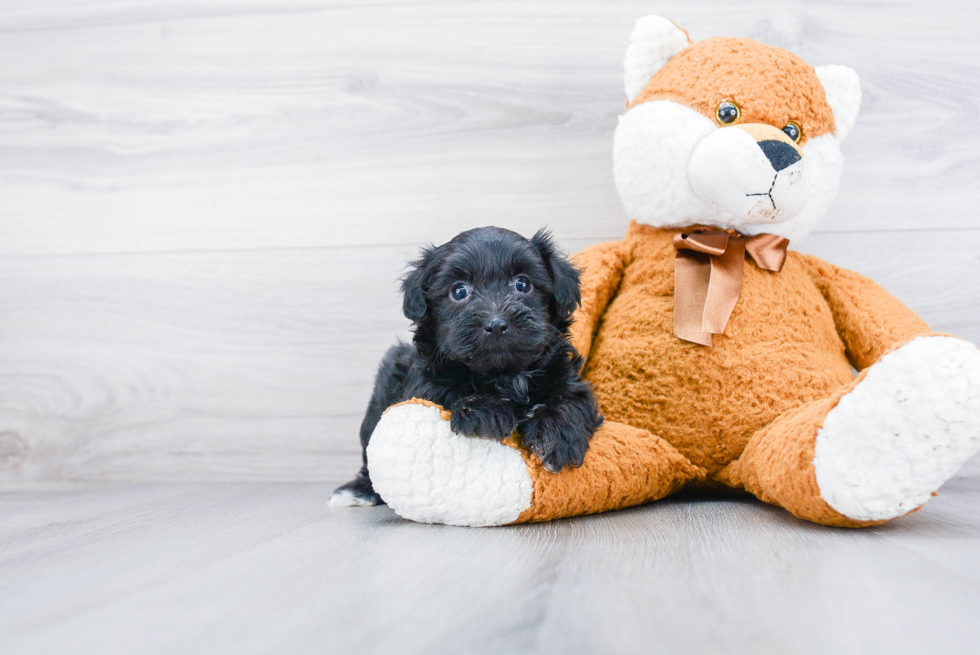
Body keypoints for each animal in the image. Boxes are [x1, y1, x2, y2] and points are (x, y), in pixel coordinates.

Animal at [332, 226, 604, 508]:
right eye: (459, 291)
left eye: (523, 284)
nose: (496, 324)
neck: (504, 375)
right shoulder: (425, 383)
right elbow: (447, 392)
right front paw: (485, 410)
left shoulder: (565, 375)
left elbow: (570, 399)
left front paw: (557, 435)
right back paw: (358, 490)